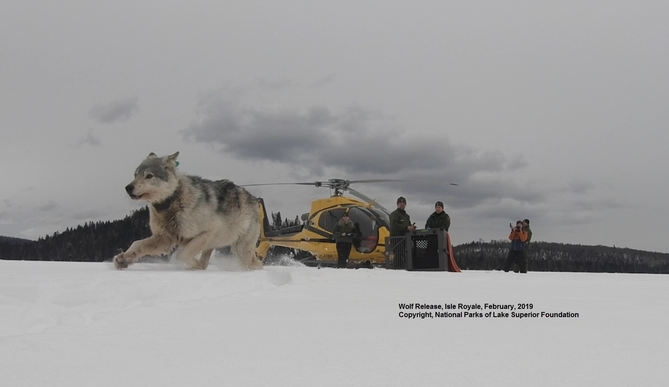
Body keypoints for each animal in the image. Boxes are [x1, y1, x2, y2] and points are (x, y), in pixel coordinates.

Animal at [113, 152, 262, 270]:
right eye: (135, 175)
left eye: (149, 176)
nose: (128, 187)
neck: (172, 201)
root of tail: (254, 198)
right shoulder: (163, 239)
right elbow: (136, 244)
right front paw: (123, 259)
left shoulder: (208, 232)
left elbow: (182, 255)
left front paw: (194, 266)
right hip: (212, 247)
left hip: (240, 249)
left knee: (253, 265)